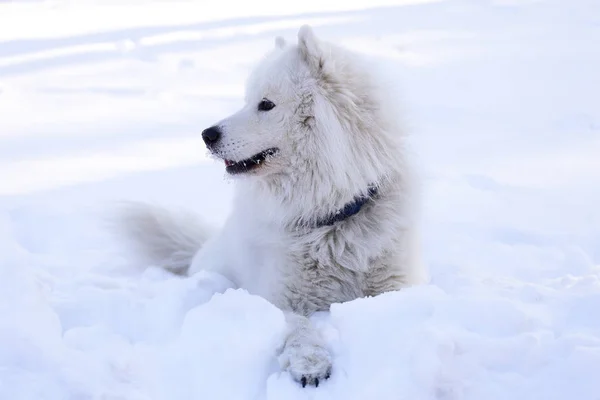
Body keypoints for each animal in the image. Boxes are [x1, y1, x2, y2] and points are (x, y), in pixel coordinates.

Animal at [115, 25, 424, 388]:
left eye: (266, 104)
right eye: (247, 100)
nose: (206, 134)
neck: (334, 218)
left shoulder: (398, 285)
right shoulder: (280, 296)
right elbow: (298, 328)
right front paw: (310, 364)